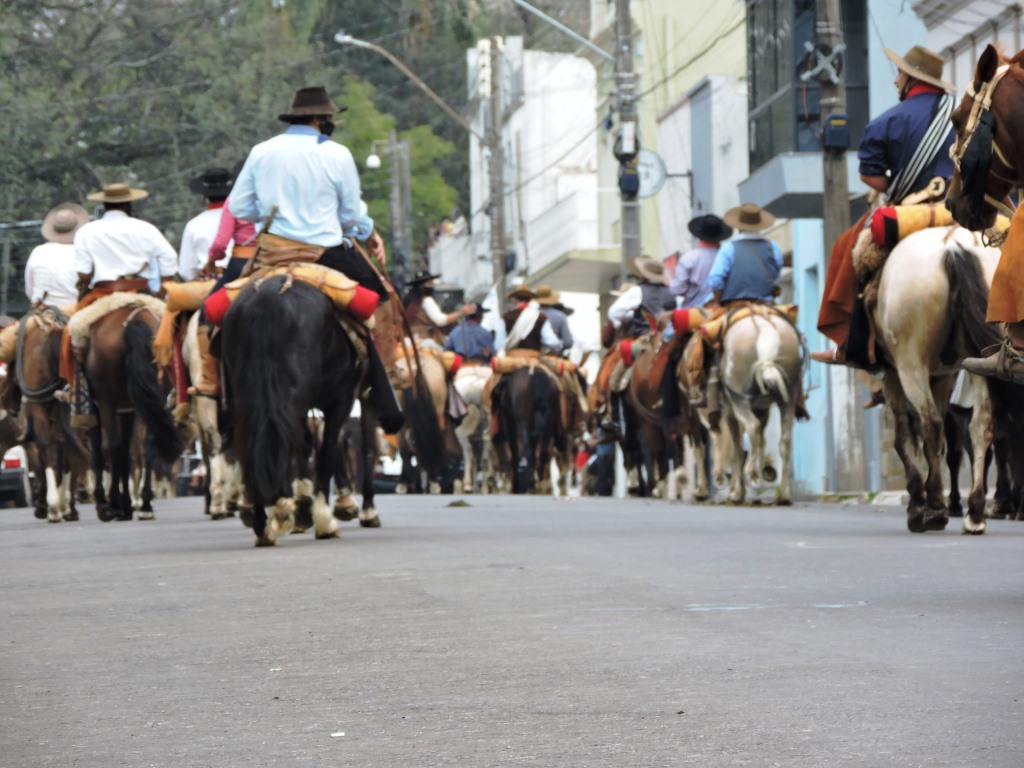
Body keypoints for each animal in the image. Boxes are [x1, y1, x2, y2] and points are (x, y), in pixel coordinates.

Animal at [224, 278, 368, 548]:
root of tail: (266, 301)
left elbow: (307, 447)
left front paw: (304, 506)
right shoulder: (342, 399)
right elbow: (327, 451)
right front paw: (324, 519)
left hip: (248, 397)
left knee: (257, 443)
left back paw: (264, 523)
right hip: (293, 395)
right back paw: (282, 508)